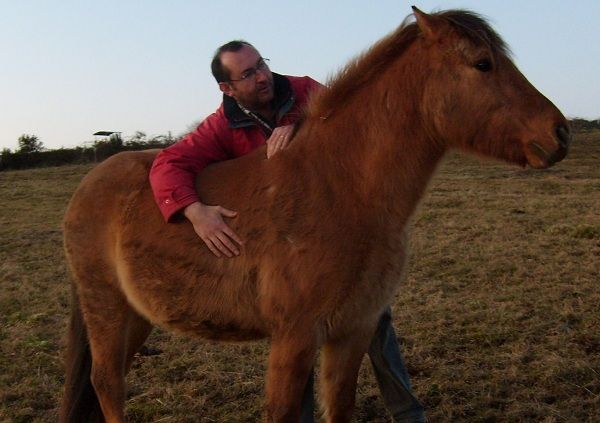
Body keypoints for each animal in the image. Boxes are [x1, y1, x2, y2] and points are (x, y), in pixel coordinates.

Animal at [59, 7, 570, 423]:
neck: (340, 189)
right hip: (106, 308)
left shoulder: (353, 331)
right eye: (482, 63)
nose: (560, 133)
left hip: (135, 316)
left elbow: (339, 406)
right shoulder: (295, 337)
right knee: (107, 383)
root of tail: (86, 186)